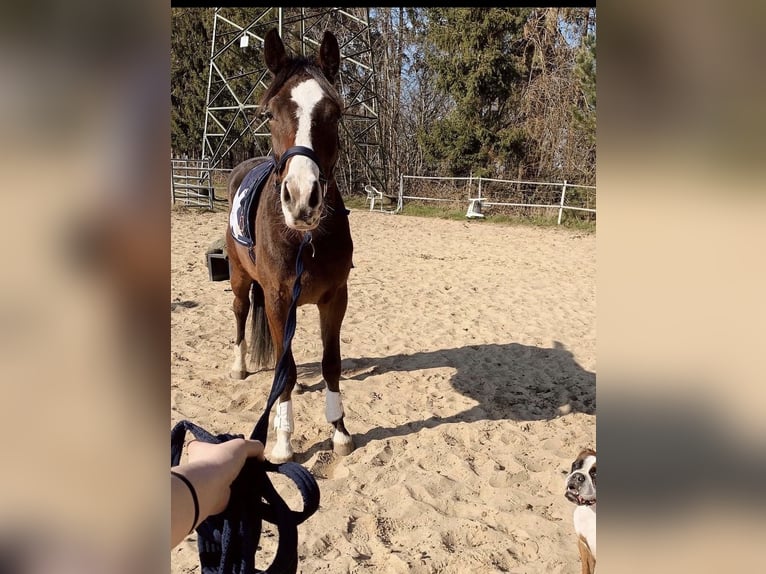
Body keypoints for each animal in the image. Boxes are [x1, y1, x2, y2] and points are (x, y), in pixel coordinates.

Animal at [225, 29, 354, 464]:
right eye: (269, 114)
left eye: (335, 113)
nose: (301, 197)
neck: (304, 239)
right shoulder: (277, 298)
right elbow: (286, 369)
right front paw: (282, 442)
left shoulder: (335, 298)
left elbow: (331, 364)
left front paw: (339, 431)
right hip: (239, 280)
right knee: (240, 314)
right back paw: (239, 366)